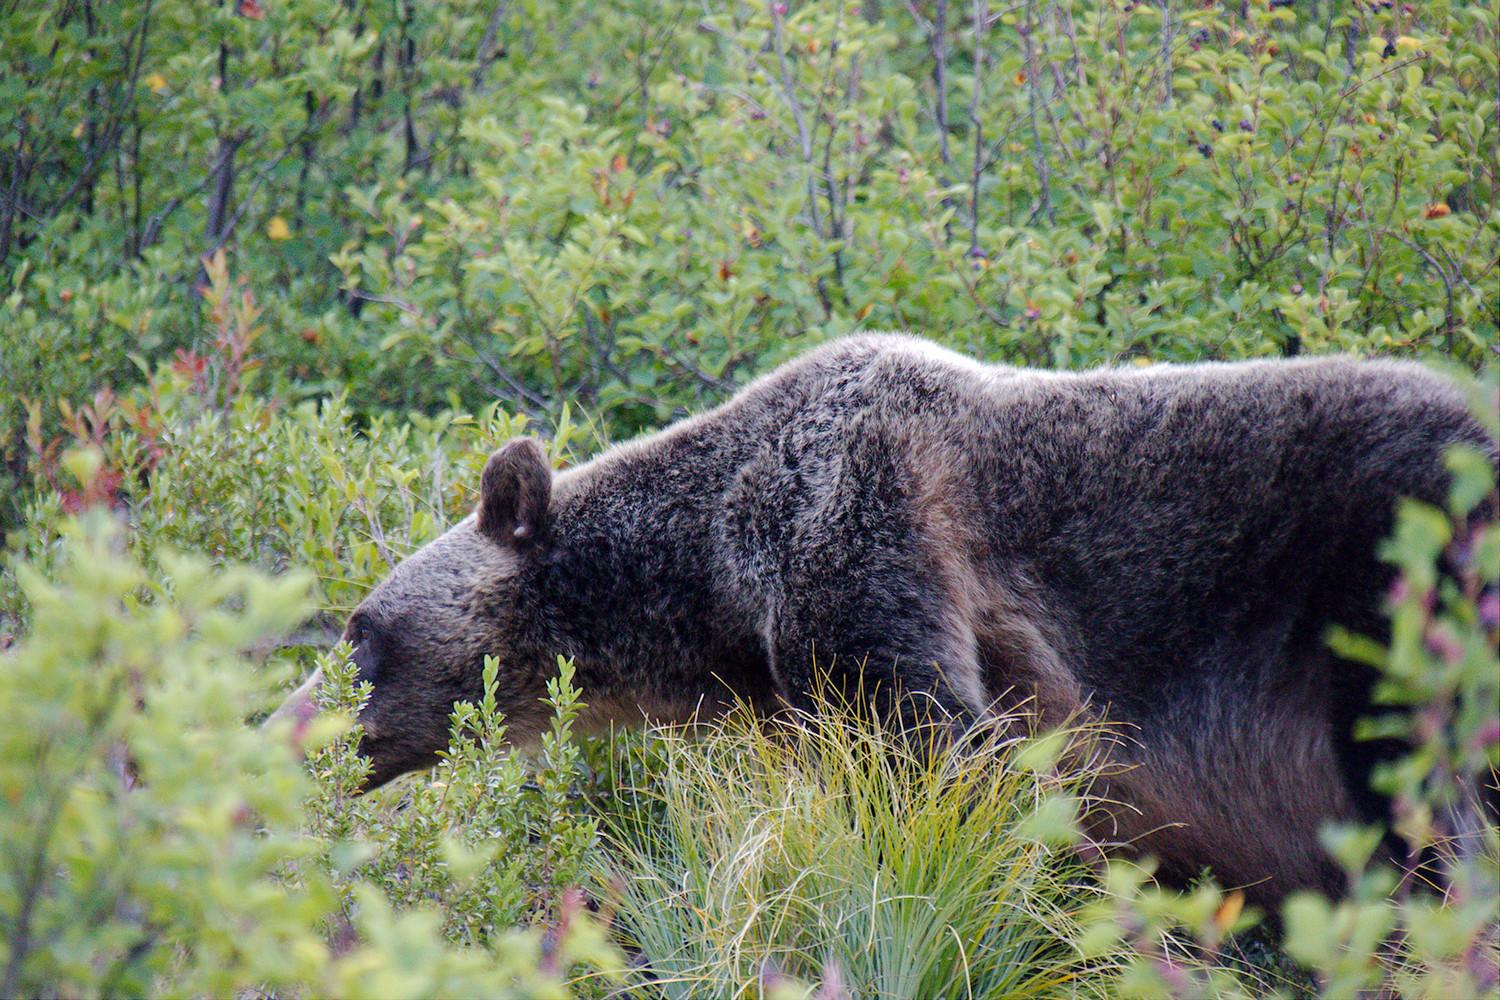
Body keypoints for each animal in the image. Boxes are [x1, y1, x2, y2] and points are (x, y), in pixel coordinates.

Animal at [270, 333, 1494, 905]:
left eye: (360, 632)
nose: (281, 729)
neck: (711, 583)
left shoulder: (865, 530)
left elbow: (952, 756)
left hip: (1391, 583)